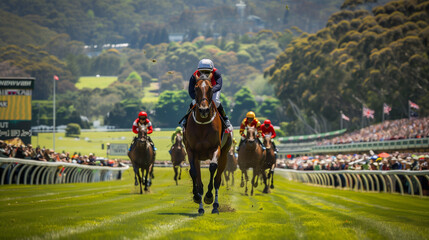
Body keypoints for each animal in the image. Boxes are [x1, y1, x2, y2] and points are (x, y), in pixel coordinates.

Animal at [183, 73, 232, 216]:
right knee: (199, 181)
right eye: (196, 88)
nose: (203, 110)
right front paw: (196, 196)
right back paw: (200, 208)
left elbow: (212, 167)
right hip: (198, 158)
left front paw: (208, 196)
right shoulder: (191, 151)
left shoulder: (216, 149)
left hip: (224, 156)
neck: (203, 125)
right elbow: (193, 172)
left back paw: (215, 205)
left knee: (217, 180)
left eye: (210, 88)